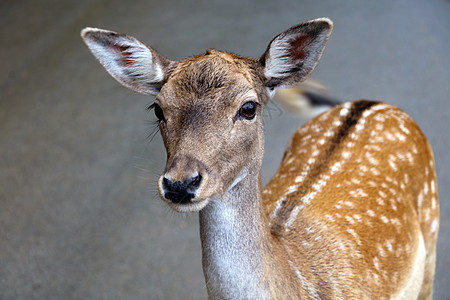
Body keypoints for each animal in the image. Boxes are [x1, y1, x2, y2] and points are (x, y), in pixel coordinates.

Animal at [81, 18, 440, 298]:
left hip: (432, 235)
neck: (298, 281)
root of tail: (368, 103)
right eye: (158, 109)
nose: (180, 183)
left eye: (248, 108)